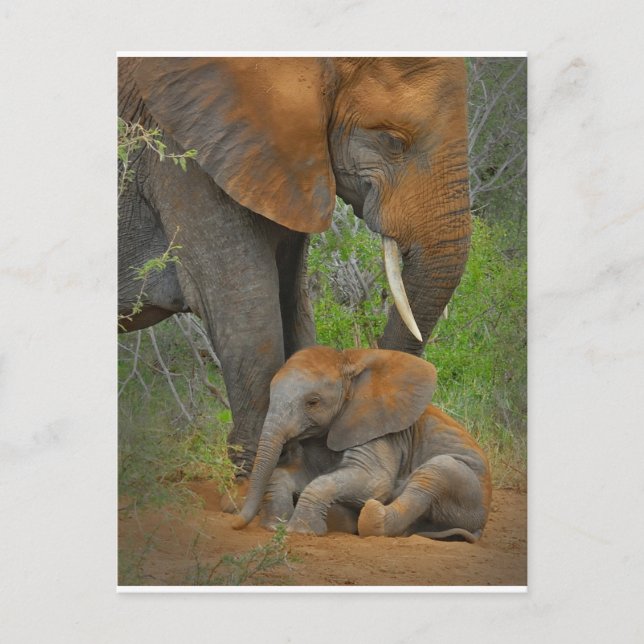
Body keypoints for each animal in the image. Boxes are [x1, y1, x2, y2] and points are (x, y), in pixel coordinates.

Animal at [232, 346, 492, 542]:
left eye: (313, 402)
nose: (235, 524)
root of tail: (481, 525)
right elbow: (299, 474)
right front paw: (275, 526)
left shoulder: (379, 432)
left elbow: (373, 480)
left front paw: (301, 531)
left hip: (468, 491)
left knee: (434, 473)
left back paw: (372, 515)